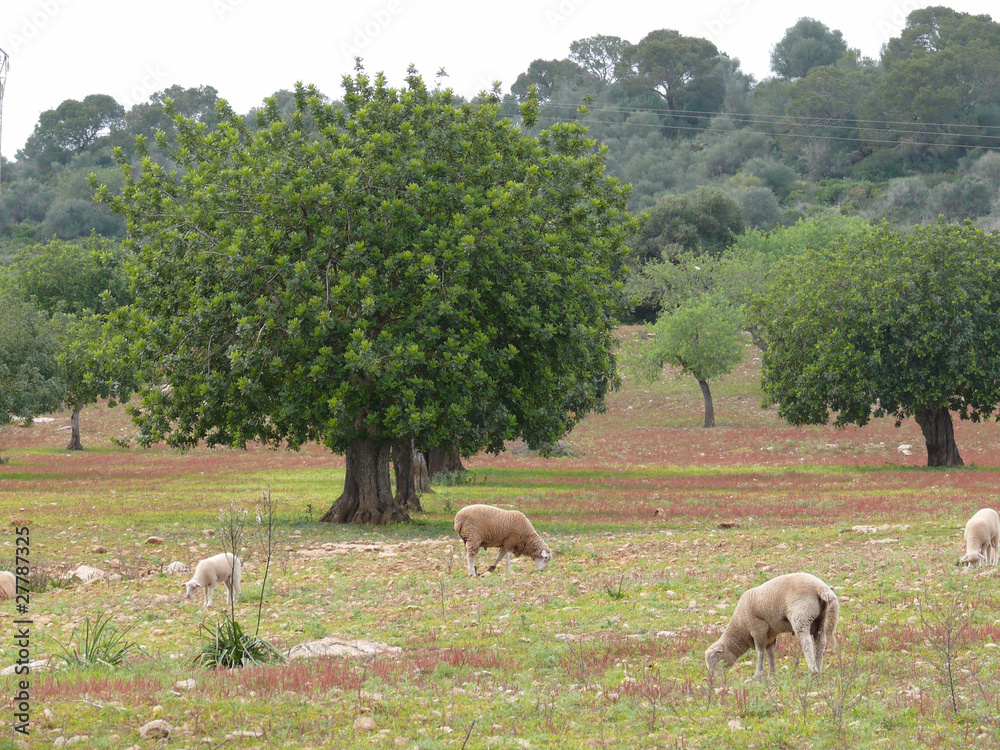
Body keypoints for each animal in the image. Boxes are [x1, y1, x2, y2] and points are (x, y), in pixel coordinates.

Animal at [708, 576, 840, 680]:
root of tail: (821, 587)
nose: (712, 678)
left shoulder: (758, 629)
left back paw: (812, 670)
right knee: (820, 643)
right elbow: (770, 653)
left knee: (807, 643)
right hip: (821, 619)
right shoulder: (770, 634)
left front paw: (757, 674)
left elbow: (760, 652)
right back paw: (819, 668)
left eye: (713, 656)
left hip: (801, 615)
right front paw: (772, 674)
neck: (740, 625)